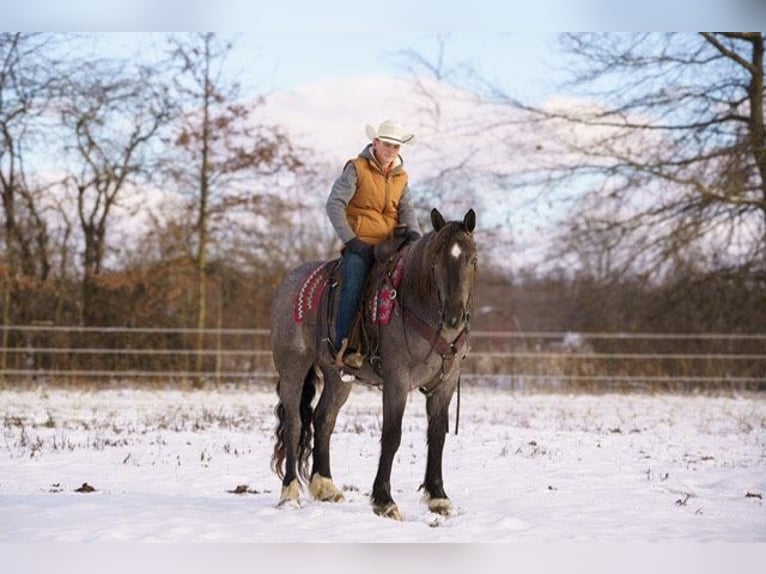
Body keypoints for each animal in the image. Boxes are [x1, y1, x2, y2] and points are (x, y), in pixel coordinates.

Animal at [270, 207, 477, 519]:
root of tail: (289, 283)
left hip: (337, 376)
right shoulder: (396, 380)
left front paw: (439, 497)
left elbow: (437, 435)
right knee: (294, 423)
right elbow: (391, 435)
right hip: (293, 367)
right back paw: (290, 492)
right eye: (436, 261)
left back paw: (325, 486)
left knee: (323, 419)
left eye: (472, 259)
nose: (454, 316)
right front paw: (384, 500)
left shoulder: (446, 383)